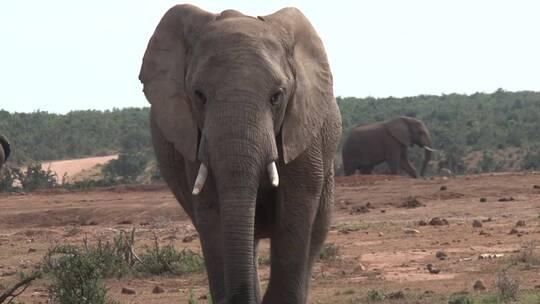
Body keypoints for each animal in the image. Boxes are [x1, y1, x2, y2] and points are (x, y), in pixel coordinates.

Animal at [139, 5, 342, 304]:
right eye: (199, 95)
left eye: (276, 96)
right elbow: (212, 215)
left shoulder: (304, 132)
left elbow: (295, 212)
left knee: (316, 232)